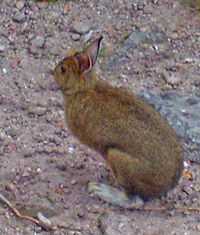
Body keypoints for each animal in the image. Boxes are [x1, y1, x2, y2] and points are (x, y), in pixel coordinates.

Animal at [53, 36, 183, 207]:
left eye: (63, 69)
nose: (53, 72)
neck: (83, 88)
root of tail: (167, 186)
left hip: (118, 159)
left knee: (134, 200)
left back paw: (100, 190)